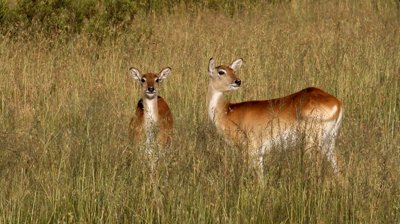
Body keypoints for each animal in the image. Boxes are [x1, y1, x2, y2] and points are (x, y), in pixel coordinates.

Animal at [208, 58, 342, 177]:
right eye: (221, 71)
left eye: (233, 70)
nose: (238, 81)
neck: (227, 111)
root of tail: (338, 103)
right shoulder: (259, 154)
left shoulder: (249, 150)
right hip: (329, 142)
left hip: (313, 142)